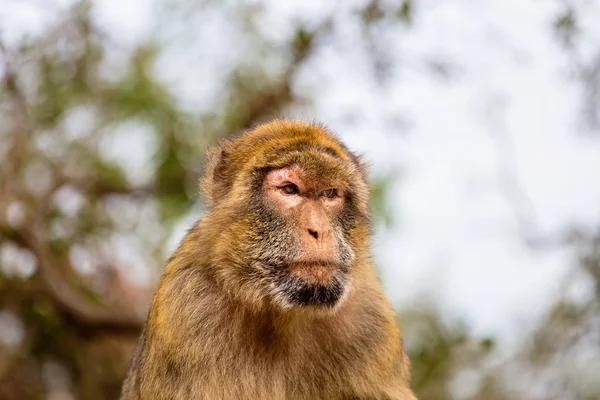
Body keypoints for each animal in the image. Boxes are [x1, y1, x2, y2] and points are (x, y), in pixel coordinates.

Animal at [119, 119, 414, 400]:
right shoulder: (185, 304)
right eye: (289, 189)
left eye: (330, 194)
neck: (282, 313)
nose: (320, 230)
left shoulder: (371, 317)